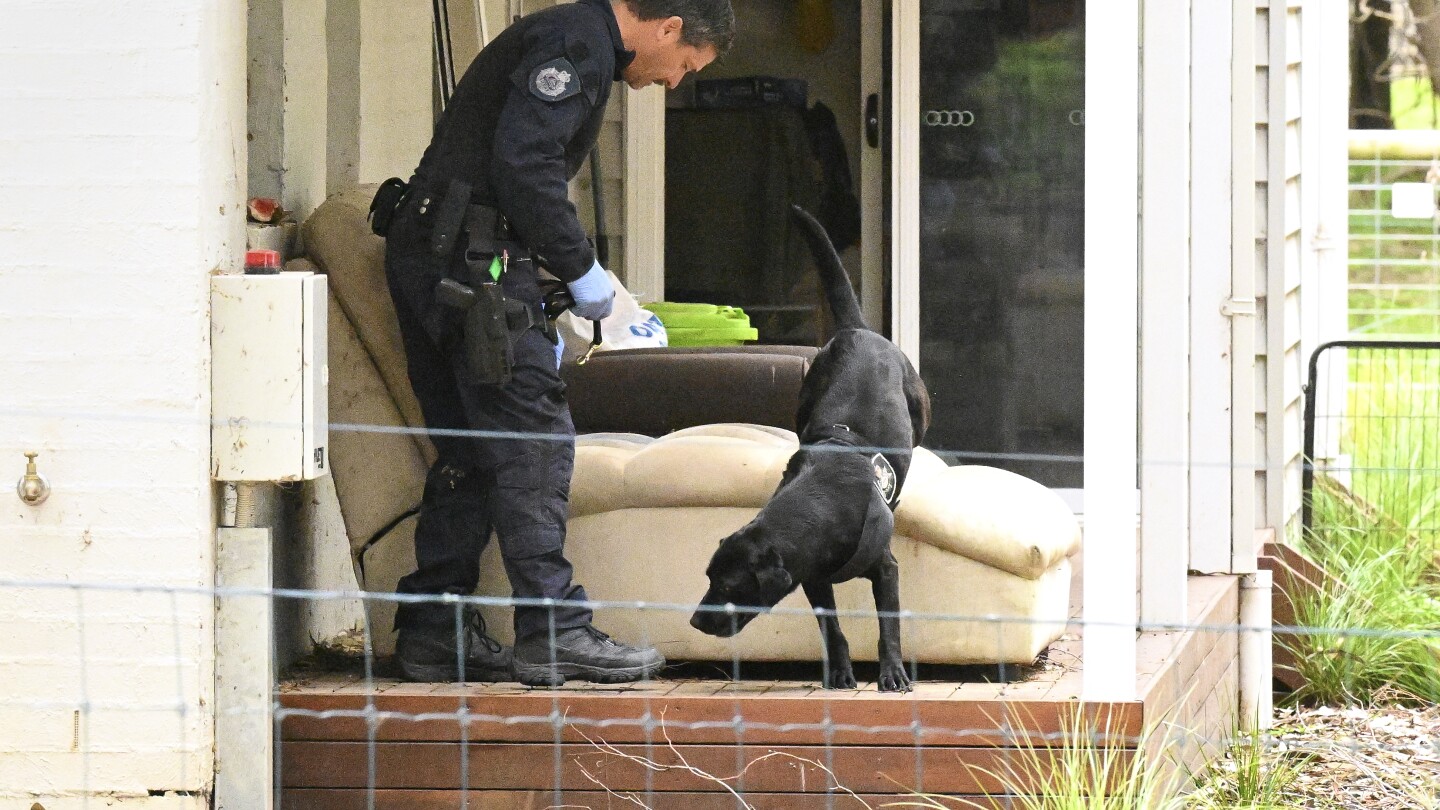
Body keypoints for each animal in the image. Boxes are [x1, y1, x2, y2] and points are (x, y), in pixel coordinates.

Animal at [688, 204, 933, 691]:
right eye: (708, 576)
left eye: (728, 587)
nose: (694, 621)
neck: (824, 506)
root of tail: (858, 330)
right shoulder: (812, 579)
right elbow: (832, 628)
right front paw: (839, 672)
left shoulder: (886, 568)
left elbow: (889, 626)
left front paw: (893, 673)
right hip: (802, 403)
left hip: (920, 407)